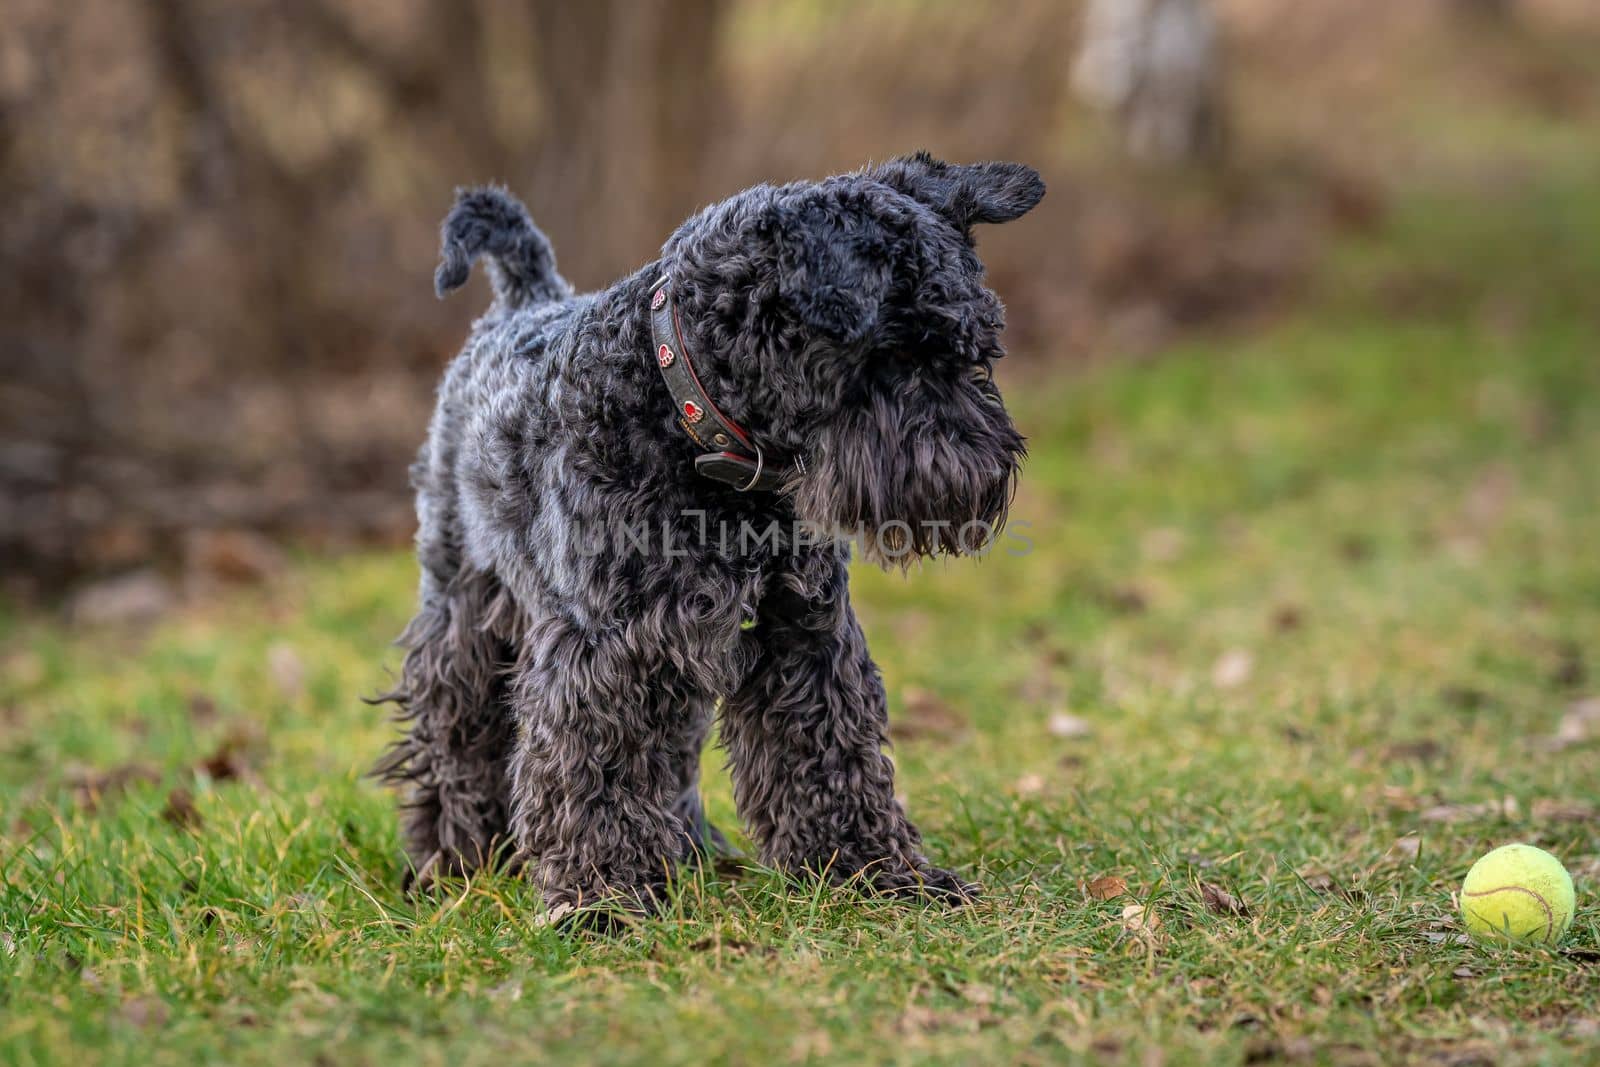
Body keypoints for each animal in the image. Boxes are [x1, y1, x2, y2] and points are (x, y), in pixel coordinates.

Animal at [379, 150, 1043, 921]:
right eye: (897, 350)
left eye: (976, 350)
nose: (987, 468)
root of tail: (524, 301)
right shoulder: (606, 645)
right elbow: (594, 764)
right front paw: (604, 898)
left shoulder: (799, 629)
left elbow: (831, 746)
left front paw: (874, 870)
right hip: (464, 603)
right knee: (454, 726)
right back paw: (455, 855)